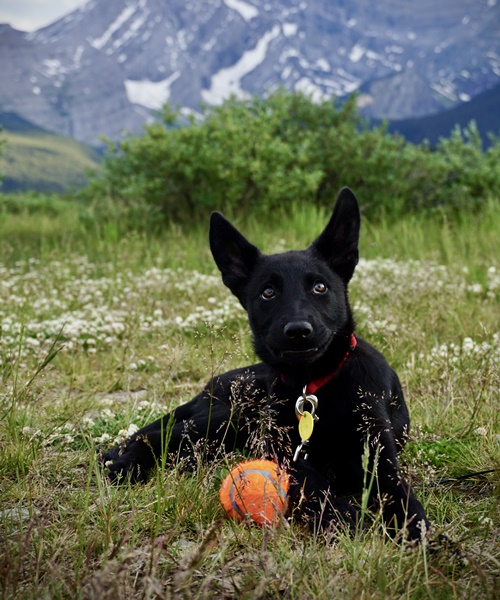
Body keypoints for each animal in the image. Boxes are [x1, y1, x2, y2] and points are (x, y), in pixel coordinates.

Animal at [104, 190, 430, 540]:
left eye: (320, 287)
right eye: (268, 292)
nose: (298, 331)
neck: (313, 385)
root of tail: (214, 382)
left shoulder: (378, 451)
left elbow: (399, 491)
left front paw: (412, 528)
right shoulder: (285, 453)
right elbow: (313, 483)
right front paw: (342, 516)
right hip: (224, 420)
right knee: (156, 435)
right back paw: (123, 462)